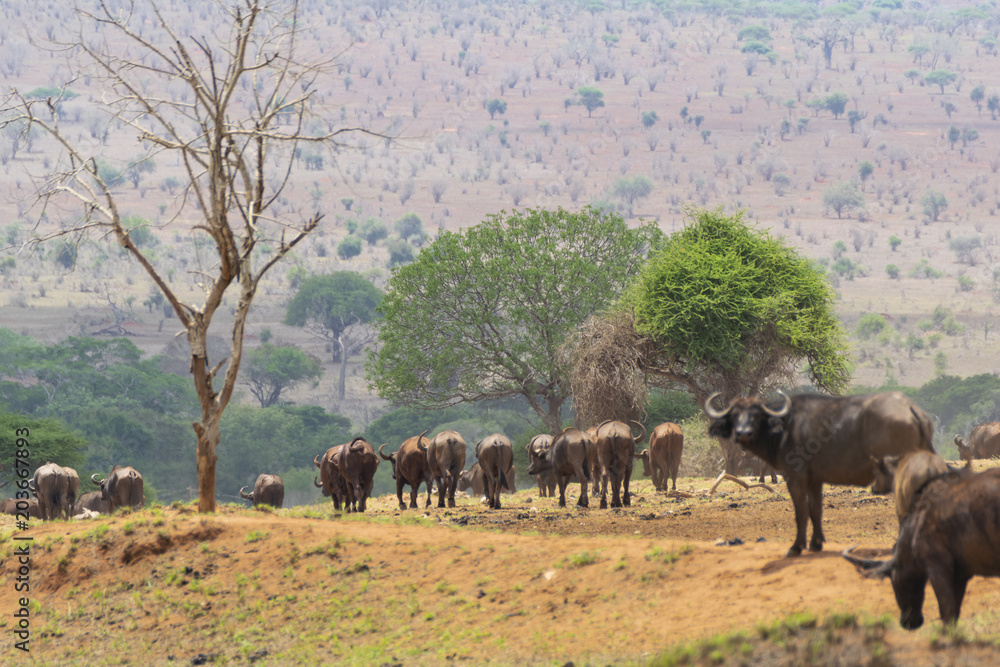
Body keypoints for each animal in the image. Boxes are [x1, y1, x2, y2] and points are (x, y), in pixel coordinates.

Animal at [705, 390, 935, 557]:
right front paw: (816, 544)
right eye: (734, 415)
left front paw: (796, 547)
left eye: (755, 415)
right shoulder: (814, 481)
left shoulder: (795, 478)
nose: (743, 433)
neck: (784, 429)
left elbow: (801, 513)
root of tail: (911, 409)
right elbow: (816, 511)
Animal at [844, 461, 999, 630]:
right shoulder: (961, 575)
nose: (907, 622)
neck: (919, 521)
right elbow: (954, 613)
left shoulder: (938, 568)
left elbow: (947, 611)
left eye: (893, 582)